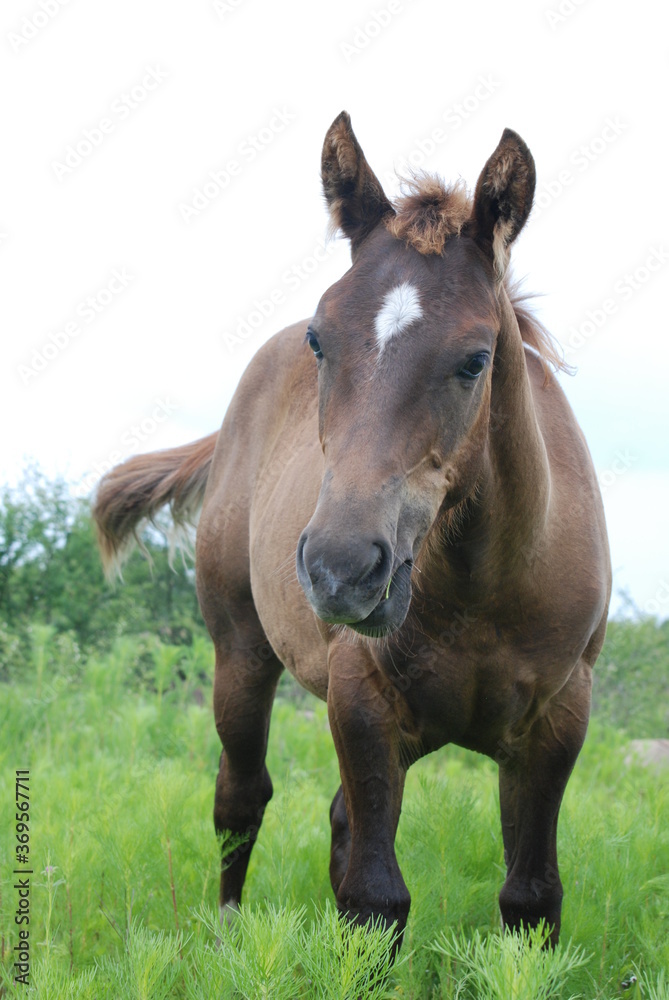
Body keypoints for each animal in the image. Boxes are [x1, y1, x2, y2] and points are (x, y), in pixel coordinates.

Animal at [92, 113, 612, 948]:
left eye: (475, 360)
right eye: (319, 340)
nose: (340, 571)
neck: (485, 587)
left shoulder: (556, 721)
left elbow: (529, 900)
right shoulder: (361, 702)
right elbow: (375, 899)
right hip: (240, 654)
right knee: (240, 800)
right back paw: (228, 937)